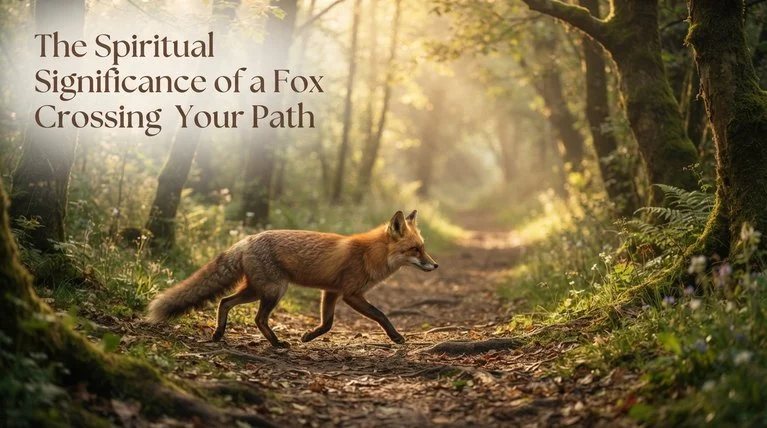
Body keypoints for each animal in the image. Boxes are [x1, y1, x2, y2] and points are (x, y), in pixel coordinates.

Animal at [146, 210, 438, 347]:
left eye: (423, 247)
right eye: (415, 249)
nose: (435, 265)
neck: (370, 254)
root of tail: (247, 239)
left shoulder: (331, 292)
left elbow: (327, 324)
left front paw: (308, 336)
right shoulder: (351, 294)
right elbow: (381, 315)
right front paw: (396, 337)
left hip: (256, 290)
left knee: (224, 302)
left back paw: (219, 334)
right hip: (275, 290)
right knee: (258, 318)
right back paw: (276, 344)